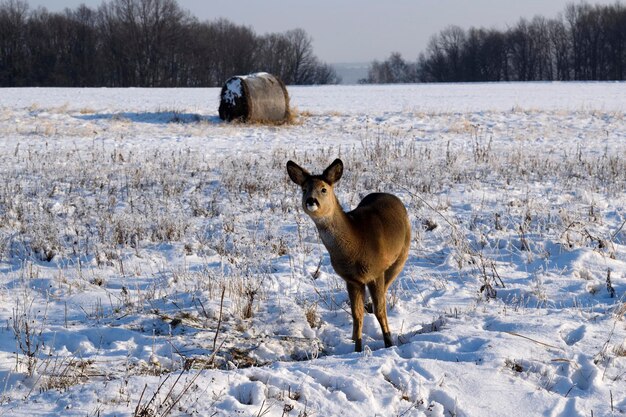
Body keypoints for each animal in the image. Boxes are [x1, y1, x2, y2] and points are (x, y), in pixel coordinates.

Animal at [286, 158, 410, 352]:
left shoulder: (376, 272)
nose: (311, 201)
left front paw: (389, 343)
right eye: (304, 189)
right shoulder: (351, 279)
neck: (356, 243)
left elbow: (380, 309)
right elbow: (356, 314)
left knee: (384, 292)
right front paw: (357, 348)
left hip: (401, 256)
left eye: (323, 189)